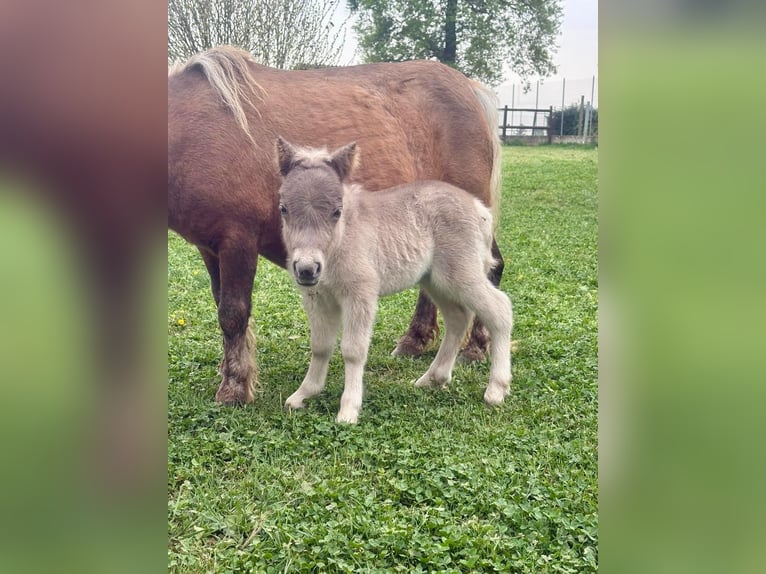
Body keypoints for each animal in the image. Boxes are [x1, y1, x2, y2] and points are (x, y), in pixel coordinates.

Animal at [168, 46, 503, 405]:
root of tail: (469, 88)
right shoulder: (210, 248)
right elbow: (223, 308)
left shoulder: (237, 240)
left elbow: (233, 313)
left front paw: (234, 387)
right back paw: (415, 339)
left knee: (490, 270)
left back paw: (476, 347)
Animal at [276, 138, 513, 423]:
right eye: (284, 208)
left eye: (336, 211)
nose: (307, 269)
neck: (341, 241)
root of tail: (479, 209)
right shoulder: (318, 298)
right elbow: (320, 346)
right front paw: (303, 394)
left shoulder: (361, 293)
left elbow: (353, 350)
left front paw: (348, 410)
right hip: (435, 281)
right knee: (458, 317)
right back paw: (432, 378)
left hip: (462, 273)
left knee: (499, 309)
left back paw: (496, 389)